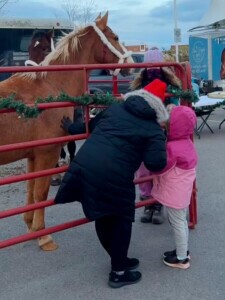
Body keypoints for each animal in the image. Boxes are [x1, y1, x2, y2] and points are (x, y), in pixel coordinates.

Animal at [0, 12, 134, 251]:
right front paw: (43, 235)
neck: (49, 86)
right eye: (116, 37)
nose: (132, 64)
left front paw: (30, 226)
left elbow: (31, 189)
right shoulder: (47, 153)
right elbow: (41, 192)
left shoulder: (33, 156)